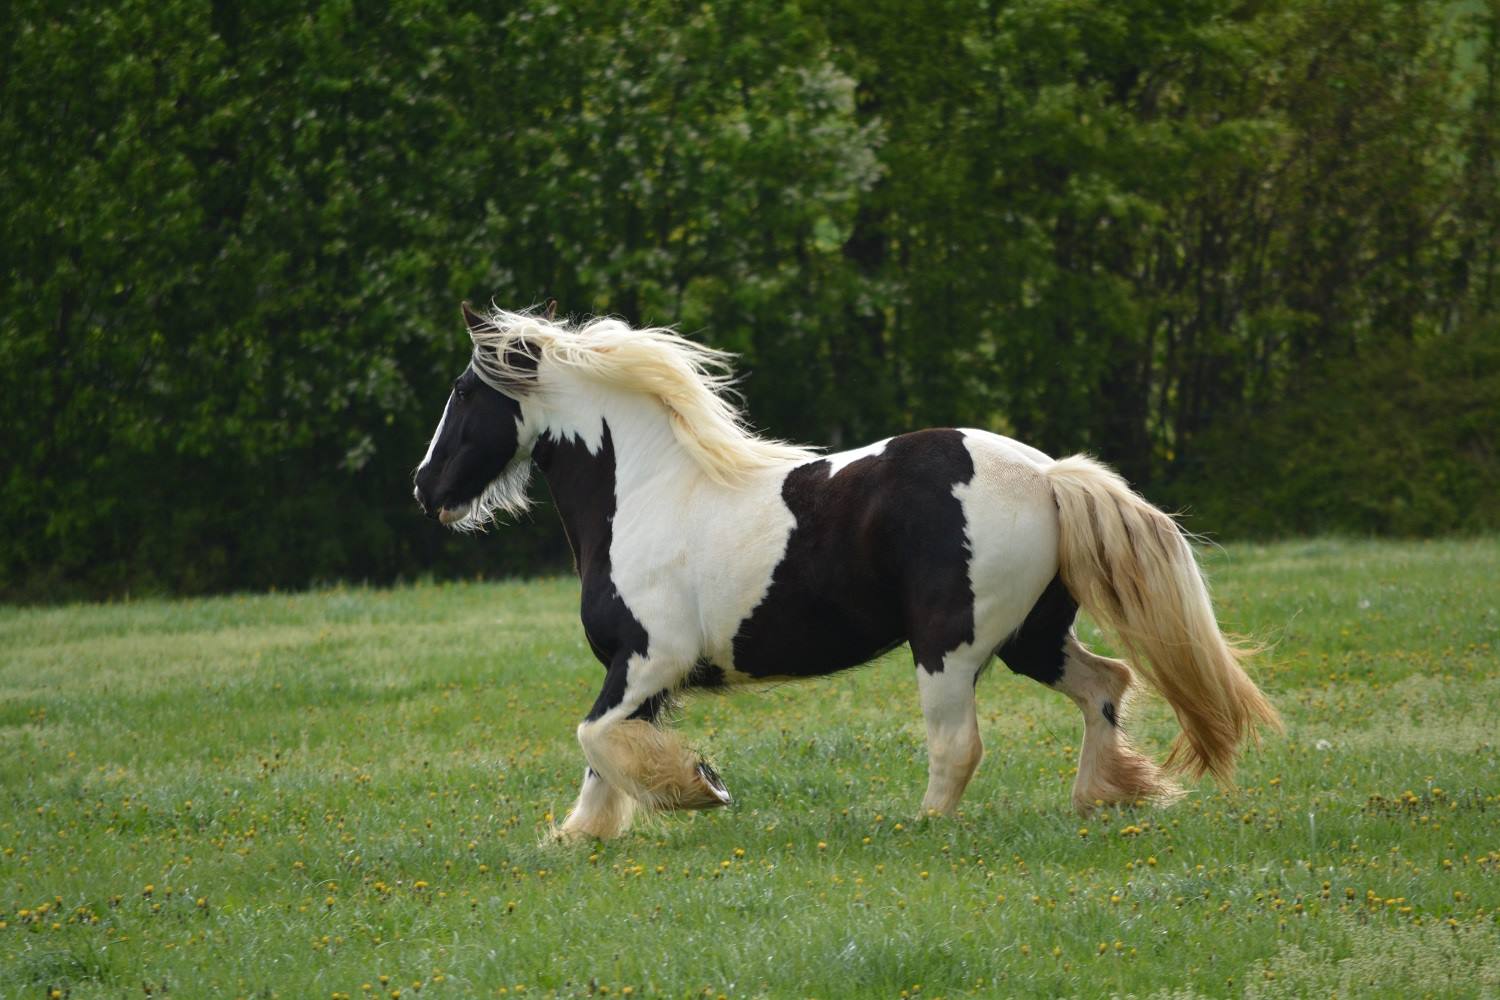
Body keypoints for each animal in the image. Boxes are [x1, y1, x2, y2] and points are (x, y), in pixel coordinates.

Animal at [411, 302, 1278, 839]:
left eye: (463, 391)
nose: (426, 489)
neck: (648, 493)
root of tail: (1047, 476)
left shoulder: (648, 660)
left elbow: (594, 737)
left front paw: (701, 787)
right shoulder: (641, 678)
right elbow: (600, 757)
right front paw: (582, 836)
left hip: (950, 645)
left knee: (959, 744)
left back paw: (924, 827)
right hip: (1032, 636)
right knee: (1107, 684)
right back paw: (1103, 797)